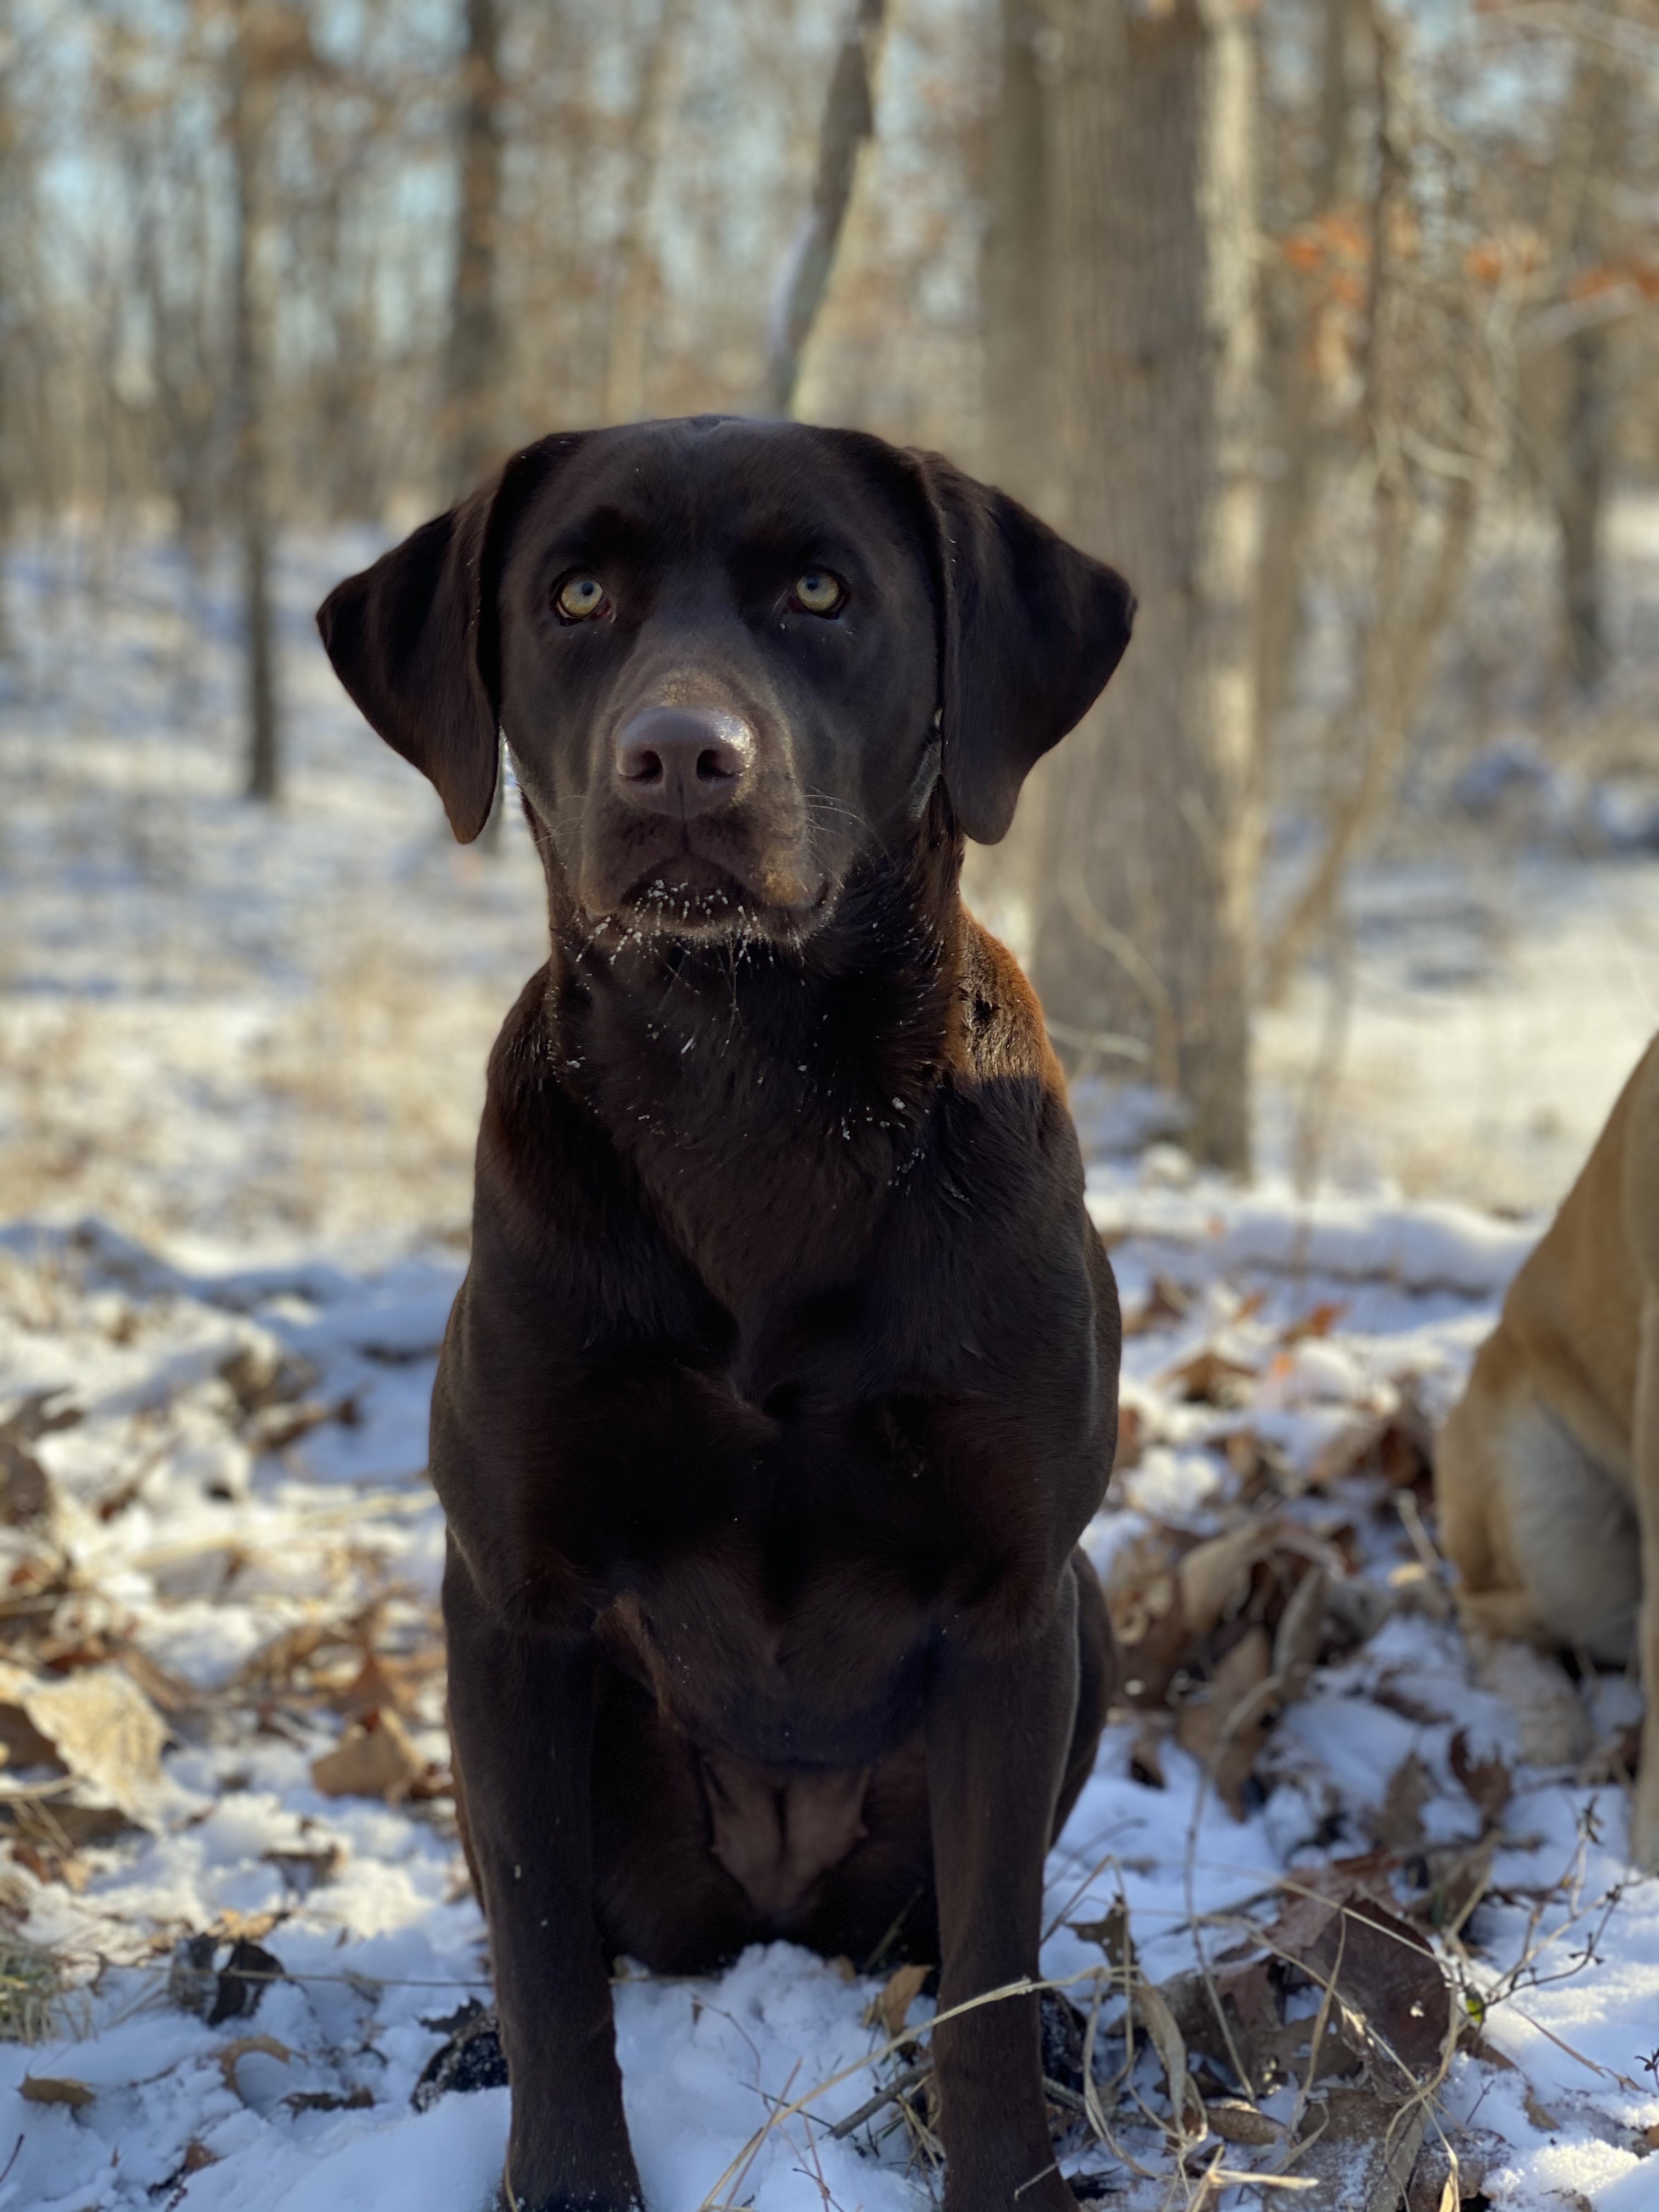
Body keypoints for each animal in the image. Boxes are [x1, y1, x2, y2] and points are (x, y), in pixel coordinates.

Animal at [318, 418, 1141, 2212]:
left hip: (1088, 1622)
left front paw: (1008, 2169)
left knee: (959, 1944)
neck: (751, 1089)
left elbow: (986, 1979)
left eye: (822, 591)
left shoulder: (1011, 1607)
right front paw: (565, 2177)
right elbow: (548, 1953)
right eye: (575, 596)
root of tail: (768, 1909)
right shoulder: (514, 1604)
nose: (681, 760)